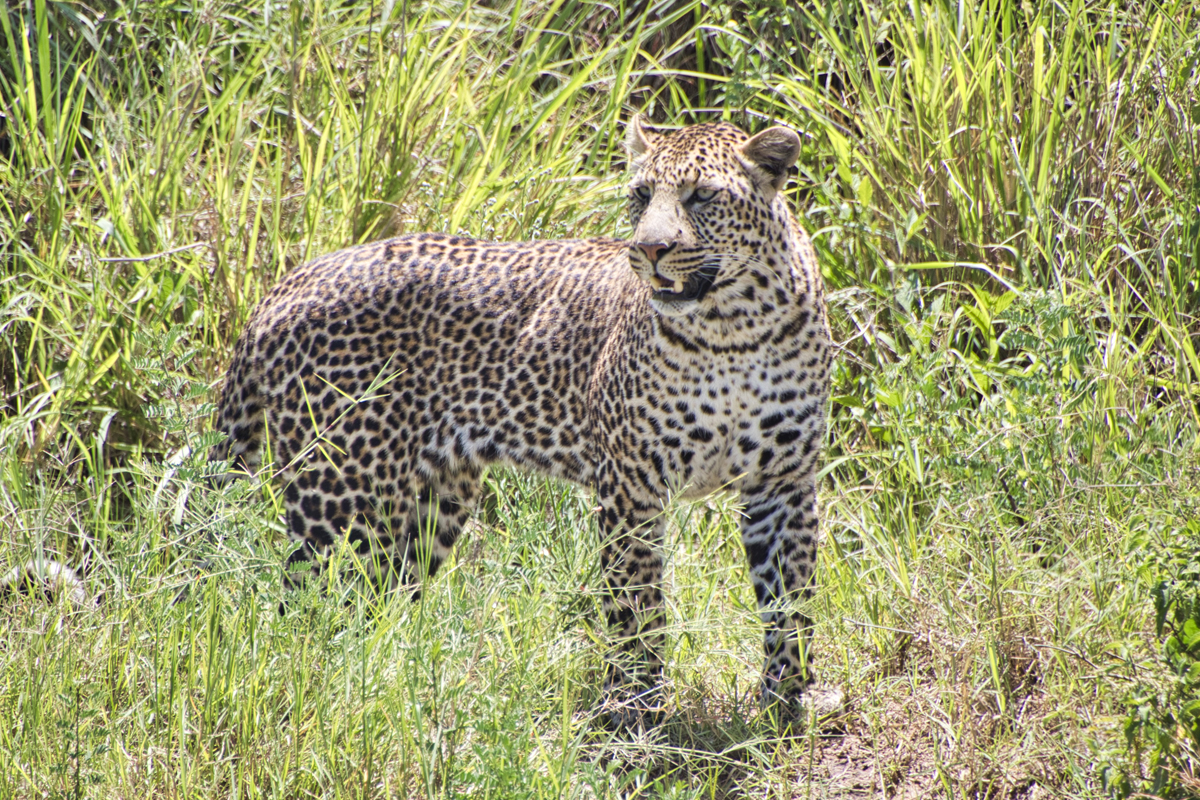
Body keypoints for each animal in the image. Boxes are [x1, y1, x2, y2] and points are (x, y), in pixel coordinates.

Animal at [212, 117, 835, 721]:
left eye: (702, 195)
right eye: (640, 194)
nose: (650, 249)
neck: (731, 329)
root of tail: (287, 283)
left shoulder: (783, 482)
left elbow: (791, 597)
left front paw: (788, 700)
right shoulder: (630, 485)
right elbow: (636, 602)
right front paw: (635, 707)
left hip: (428, 502)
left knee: (368, 601)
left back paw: (378, 679)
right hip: (338, 495)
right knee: (302, 610)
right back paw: (315, 682)